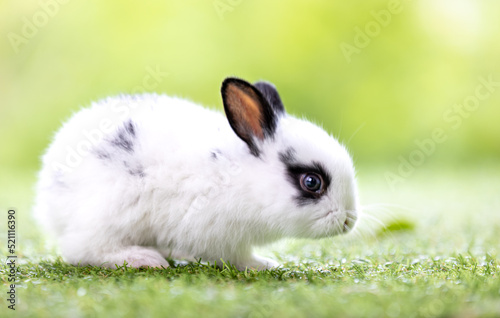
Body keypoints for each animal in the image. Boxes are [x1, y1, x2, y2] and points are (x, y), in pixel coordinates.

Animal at [33, 76, 358, 270]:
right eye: (312, 182)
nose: (348, 221)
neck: (242, 178)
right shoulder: (222, 238)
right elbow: (239, 258)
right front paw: (265, 265)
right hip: (111, 213)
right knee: (81, 249)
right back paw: (144, 259)